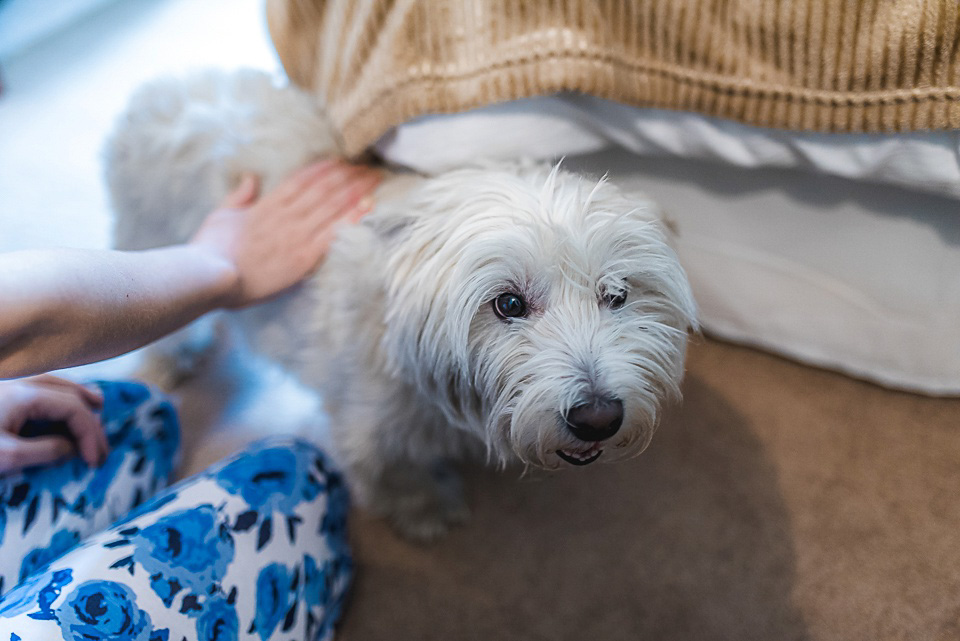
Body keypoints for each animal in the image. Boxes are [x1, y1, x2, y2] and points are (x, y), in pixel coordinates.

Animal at [107, 70, 696, 540]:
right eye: (508, 303)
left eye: (617, 294)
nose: (599, 418)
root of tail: (158, 89)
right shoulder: (371, 431)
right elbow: (396, 476)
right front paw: (425, 513)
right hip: (149, 243)